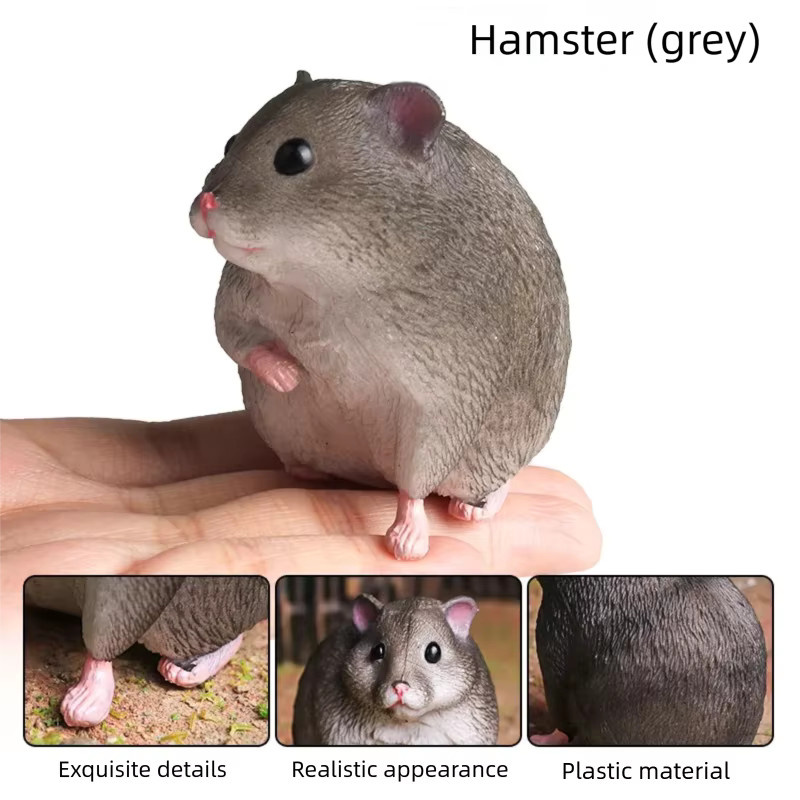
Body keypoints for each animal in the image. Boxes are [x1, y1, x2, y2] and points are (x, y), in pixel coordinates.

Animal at [189, 71, 570, 560]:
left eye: (294, 157)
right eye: (230, 141)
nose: (205, 205)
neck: (326, 284)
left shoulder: (446, 394)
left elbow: (417, 479)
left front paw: (408, 537)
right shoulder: (241, 295)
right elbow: (233, 337)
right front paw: (287, 374)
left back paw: (475, 508)